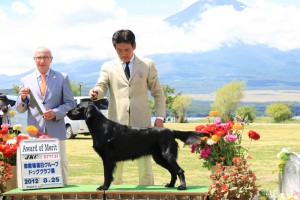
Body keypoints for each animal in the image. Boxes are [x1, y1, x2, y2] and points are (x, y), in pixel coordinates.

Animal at [67, 103, 205, 191]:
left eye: (78, 108)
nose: (67, 112)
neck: (100, 127)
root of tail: (170, 131)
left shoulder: (107, 158)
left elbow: (107, 175)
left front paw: (104, 187)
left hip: (167, 155)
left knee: (179, 170)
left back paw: (182, 187)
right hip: (159, 158)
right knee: (173, 171)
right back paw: (170, 185)